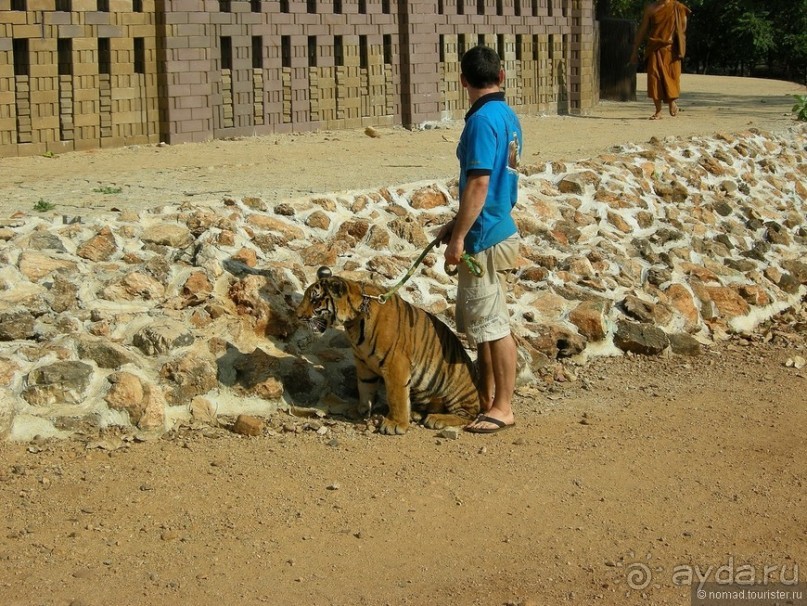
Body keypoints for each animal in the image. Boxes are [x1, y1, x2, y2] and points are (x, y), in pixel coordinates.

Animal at [296, 268, 480, 434]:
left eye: (314, 300)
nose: (297, 316)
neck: (353, 322)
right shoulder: (363, 362)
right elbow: (364, 387)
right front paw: (360, 410)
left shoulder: (395, 363)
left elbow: (396, 396)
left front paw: (396, 424)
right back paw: (416, 413)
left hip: (456, 387)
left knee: (469, 415)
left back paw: (437, 419)